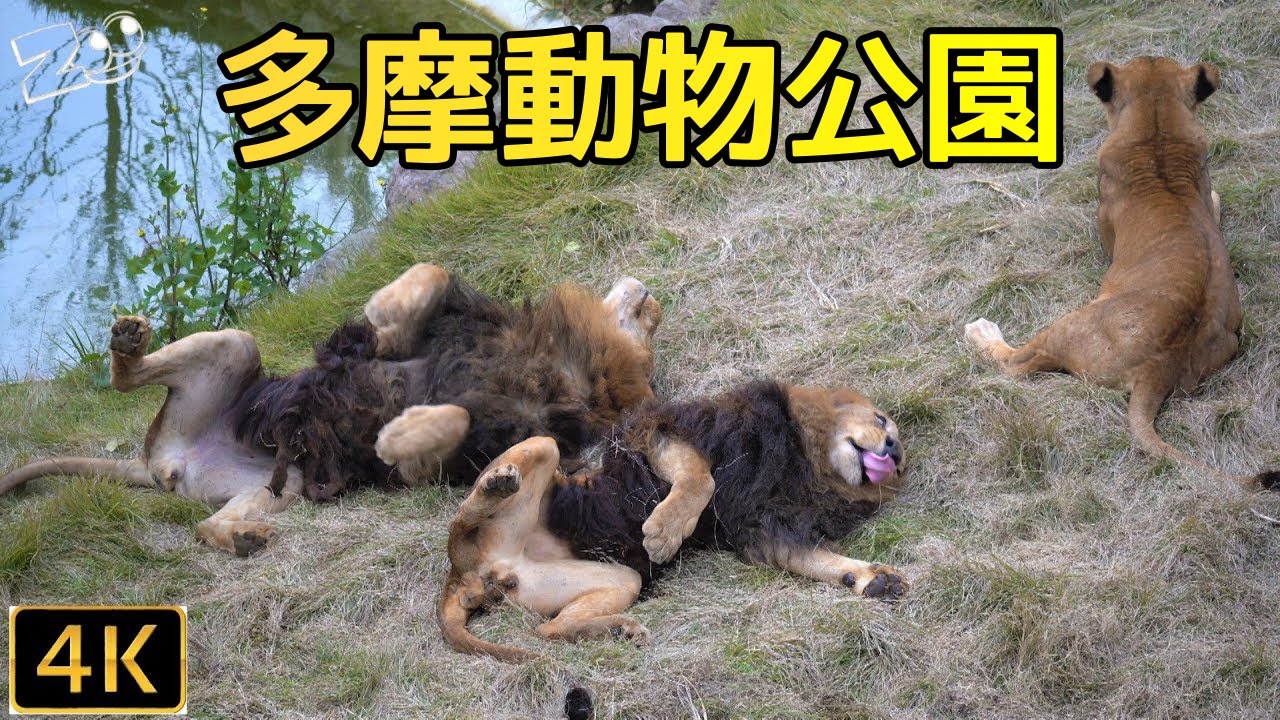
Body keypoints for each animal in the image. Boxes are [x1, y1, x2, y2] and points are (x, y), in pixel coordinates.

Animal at [0, 264, 662, 555]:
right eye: (649, 323)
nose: (651, 293)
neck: (559, 364)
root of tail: (161, 464)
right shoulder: (440, 325)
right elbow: (427, 277)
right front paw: (385, 318)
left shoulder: (454, 457)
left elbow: (447, 422)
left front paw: (394, 433)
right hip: (238, 346)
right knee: (122, 381)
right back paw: (129, 339)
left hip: (285, 479)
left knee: (206, 525)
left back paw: (243, 536)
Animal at [438, 380, 906, 662]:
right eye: (881, 419)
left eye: (900, 461)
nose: (894, 450)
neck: (808, 462)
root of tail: (465, 581)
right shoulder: (661, 431)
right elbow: (702, 478)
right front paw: (663, 533)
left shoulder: (763, 528)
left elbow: (816, 560)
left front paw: (872, 579)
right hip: (541, 446)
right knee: (458, 524)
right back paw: (497, 484)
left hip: (615, 579)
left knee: (549, 630)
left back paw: (617, 632)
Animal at [965, 56, 1277, 490]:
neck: (1157, 133)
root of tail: (1157, 370)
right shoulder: (1206, 196)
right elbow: (1215, 202)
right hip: (1228, 344)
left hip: (1070, 324)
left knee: (1016, 365)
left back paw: (981, 332)